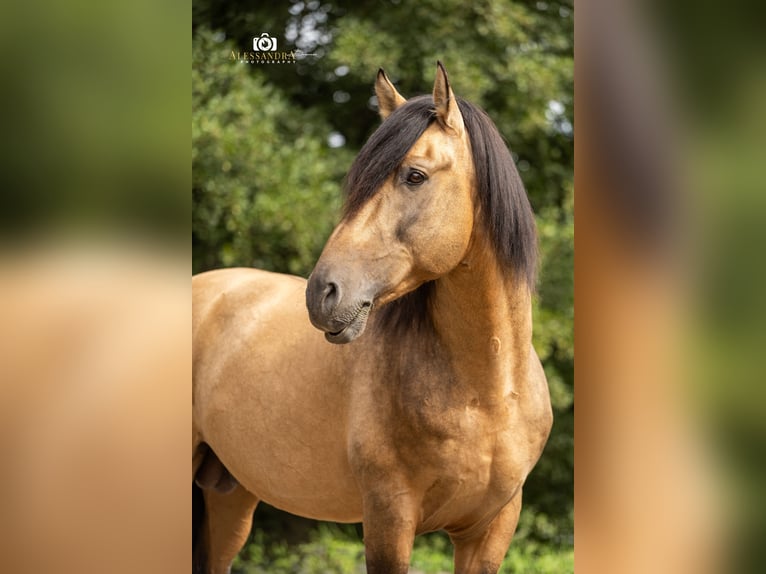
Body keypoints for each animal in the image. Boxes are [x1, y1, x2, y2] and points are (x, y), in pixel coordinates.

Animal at [192, 62, 552, 574]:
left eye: (415, 176)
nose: (321, 293)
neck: (486, 394)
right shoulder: (389, 517)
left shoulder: (490, 531)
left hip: (229, 497)